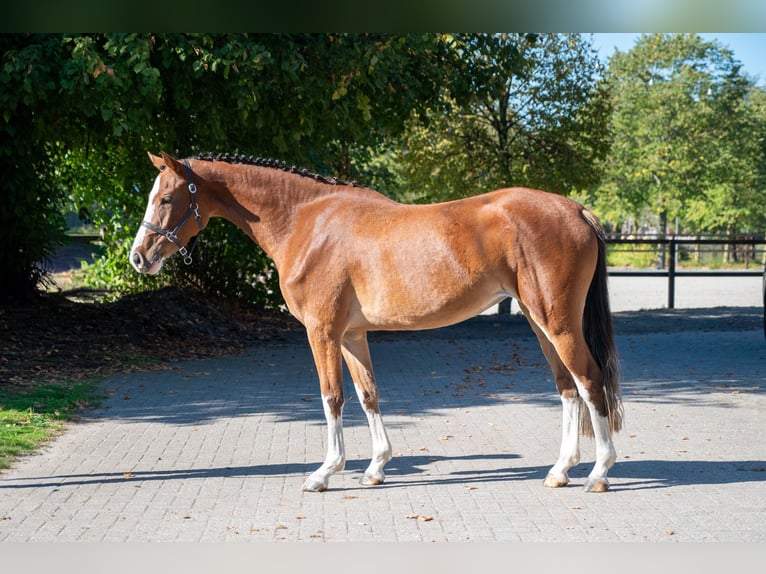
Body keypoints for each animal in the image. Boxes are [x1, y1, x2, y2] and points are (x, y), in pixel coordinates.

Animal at [130, 151, 623, 493]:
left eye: (167, 198)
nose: (139, 257)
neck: (307, 222)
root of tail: (576, 210)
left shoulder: (322, 332)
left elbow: (332, 398)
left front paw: (324, 473)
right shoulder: (351, 335)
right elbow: (368, 395)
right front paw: (375, 468)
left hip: (558, 325)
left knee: (589, 381)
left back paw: (598, 473)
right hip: (542, 325)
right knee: (567, 388)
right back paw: (559, 472)